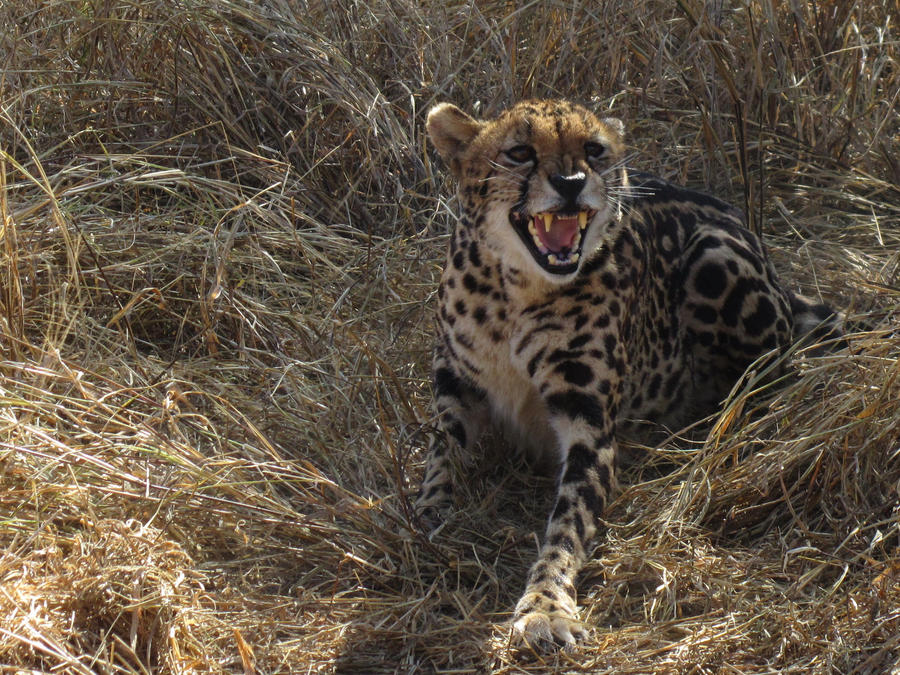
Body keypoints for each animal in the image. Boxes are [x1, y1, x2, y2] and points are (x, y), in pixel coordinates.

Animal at [415, 98, 839, 651]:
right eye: (520, 152)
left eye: (594, 150)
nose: (571, 182)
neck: (515, 288)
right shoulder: (455, 380)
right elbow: (441, 451)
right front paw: (432, 513)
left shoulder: (589, 421)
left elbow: (567, 523)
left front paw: (545, 605)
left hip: (714, 254)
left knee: (774, 375)